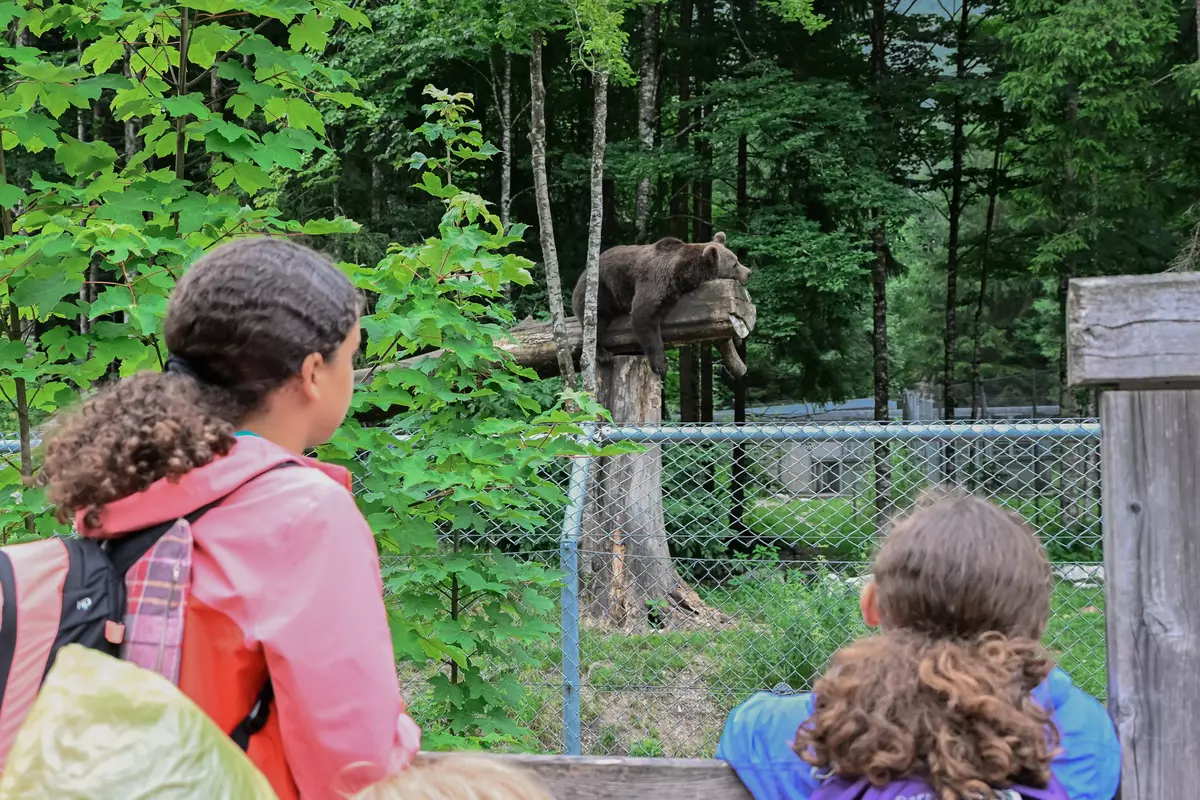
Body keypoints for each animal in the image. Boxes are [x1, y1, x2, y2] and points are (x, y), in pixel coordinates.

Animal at [571, 232, 751, 377]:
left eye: (737, 260)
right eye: (735, 264)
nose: (749, 272)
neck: (682, 273)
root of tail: (583, 272)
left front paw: (737, 339)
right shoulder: (656, 280)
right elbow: (643, 315)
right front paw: (660, 365)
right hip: (600, 290)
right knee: (597, 320)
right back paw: (602, 353)